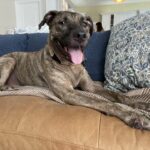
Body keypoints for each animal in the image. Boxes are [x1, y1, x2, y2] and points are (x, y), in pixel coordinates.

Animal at [0, 10, 149, 129]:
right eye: (61, 23)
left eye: (85, 24)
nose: (81, 35)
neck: (70, 65)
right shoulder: (69, 93)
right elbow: (104, 102)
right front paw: (133, 116)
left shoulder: (91, 87)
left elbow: (119, 96)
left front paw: (140, 104)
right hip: (9, 60)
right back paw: (8, 87)